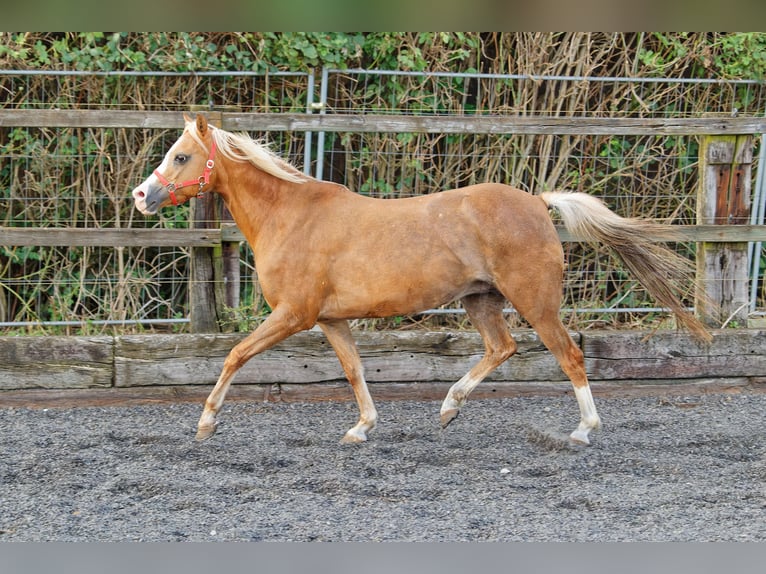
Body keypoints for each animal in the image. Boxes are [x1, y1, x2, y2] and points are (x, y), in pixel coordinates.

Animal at [132, 111, 712, 446]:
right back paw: (449, 408)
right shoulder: (330, 320)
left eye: (181, 156)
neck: (290, 216)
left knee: (568, 355)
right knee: (501, 348)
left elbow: (234, 354)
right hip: (481, 300)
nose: (142, 195)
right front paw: (361, 429)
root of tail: (537, 202)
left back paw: (583, 431)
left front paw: (206, 423)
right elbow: (355, 372)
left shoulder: (293, 315)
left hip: (535, 299)